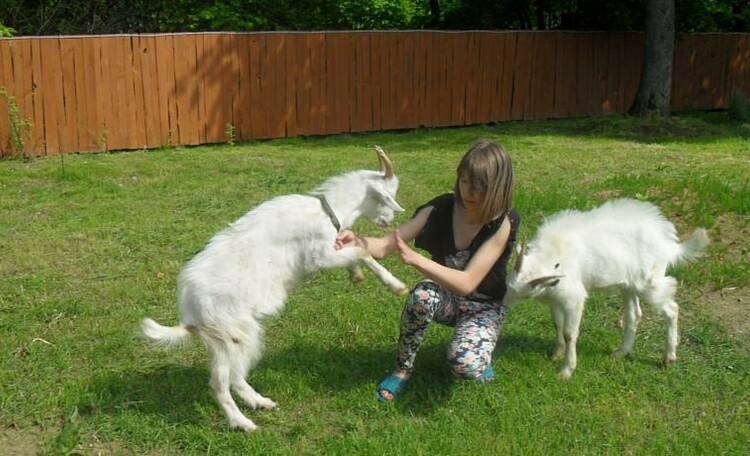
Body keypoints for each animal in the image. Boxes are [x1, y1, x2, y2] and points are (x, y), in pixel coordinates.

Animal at [141, 147, 412, 432]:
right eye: (389, 195)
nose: (389, 220)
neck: (328, 211)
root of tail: (189, 311)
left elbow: (355, 250)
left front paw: (356, 275)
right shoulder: (318, 257)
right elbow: (361, 251)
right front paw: (395, 285)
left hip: (229, 338)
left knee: (235, 375)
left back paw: (260, 402)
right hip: (232, 334)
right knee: (221, 382)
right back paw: (242, 422)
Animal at [506, 198, 712, 380]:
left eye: (524, 295)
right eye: (509, 284)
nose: (503, 303)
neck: (554, 256)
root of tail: (669, 245)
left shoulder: (573, 298)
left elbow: (569, 333)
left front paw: (566, 370)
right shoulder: (556, 298)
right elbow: (557, 324)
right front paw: (556, 354)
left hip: (648, 283)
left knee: (671, 309)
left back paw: (668, 357)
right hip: (629, 286)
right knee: (635, 315)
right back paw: (620, 353)